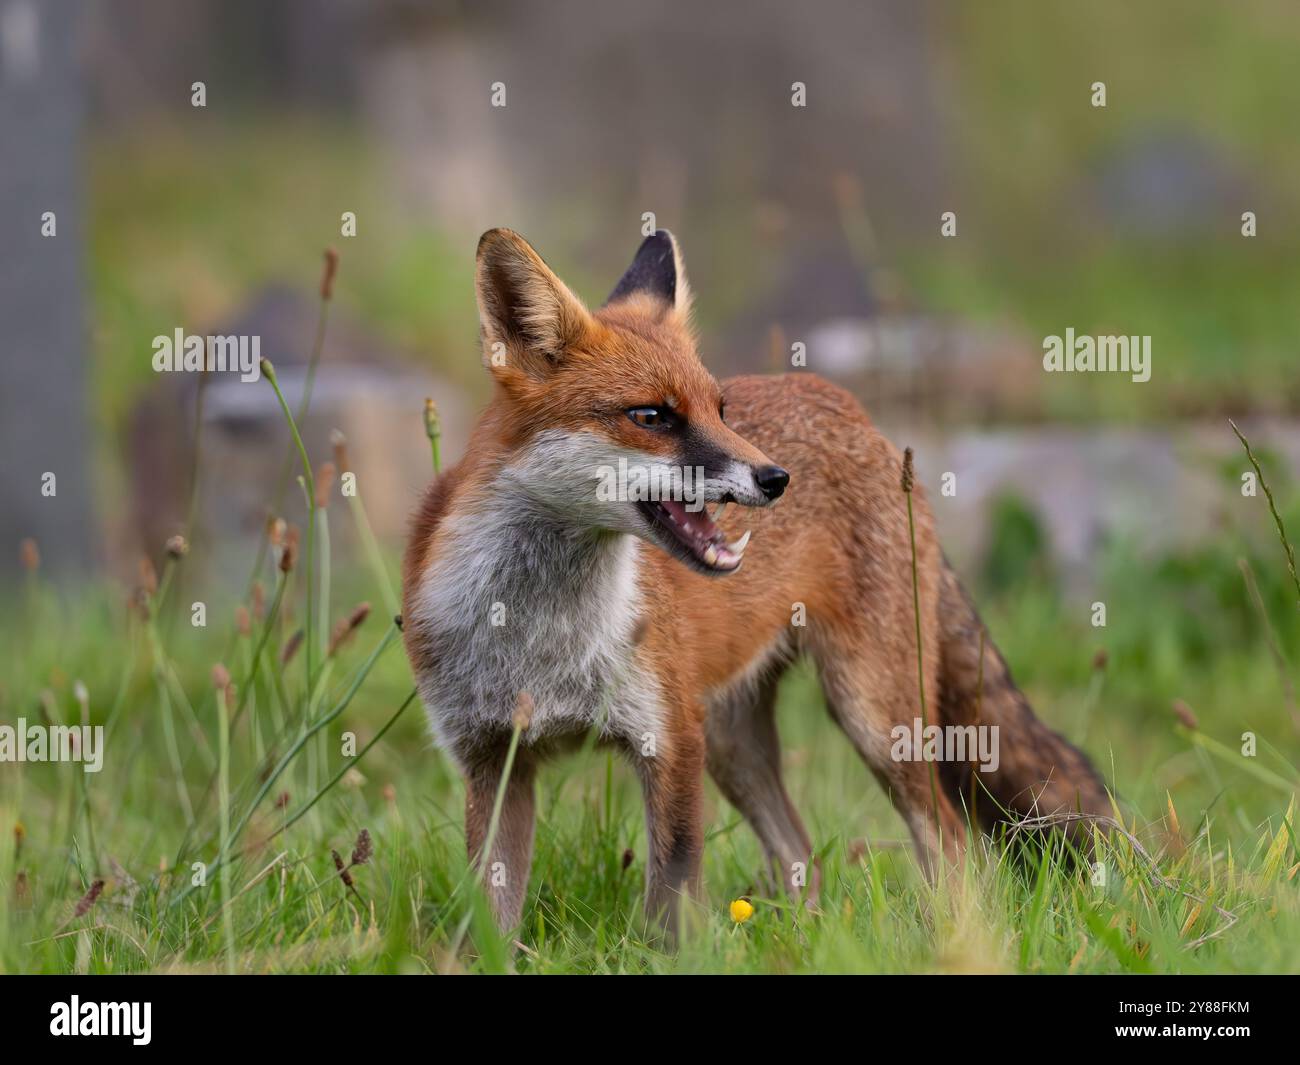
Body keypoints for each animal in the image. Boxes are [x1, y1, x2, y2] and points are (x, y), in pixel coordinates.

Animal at [401, 227, 1111, 934]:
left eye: (720, 411)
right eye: (651, 417)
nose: (774, 478)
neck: (541, 638)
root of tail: (846, 403)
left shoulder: (670, 742)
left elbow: (673, 901)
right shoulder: (491, 760)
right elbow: (490, 921)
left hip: (872, 719)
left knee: (952, 845)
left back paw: (956, 939)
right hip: (733, 744)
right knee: (804, 858)